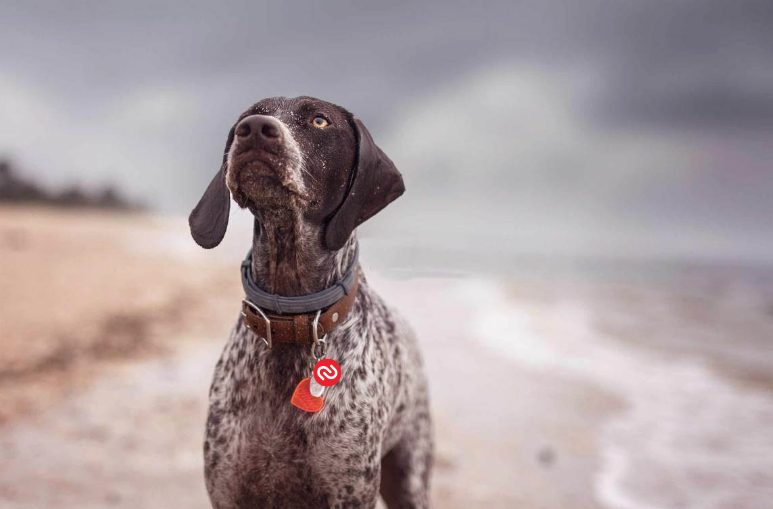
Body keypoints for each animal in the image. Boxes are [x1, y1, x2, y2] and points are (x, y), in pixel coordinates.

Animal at [189, 96, 434, 508]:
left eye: (320, 121)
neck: (291, 316)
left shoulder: (348, 492)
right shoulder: (229, 489)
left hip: (410, 478)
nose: (255, 129)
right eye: (248, 115)